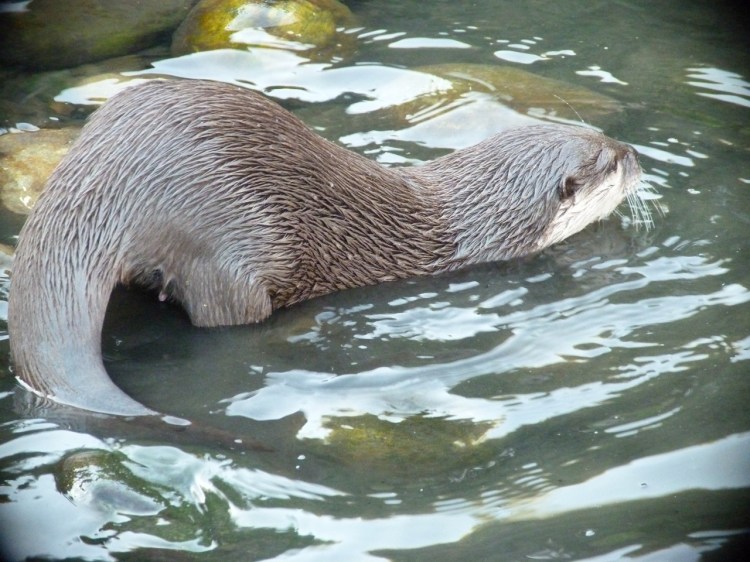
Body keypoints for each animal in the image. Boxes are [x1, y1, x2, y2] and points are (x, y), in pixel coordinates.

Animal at [8, 79, 645, 417]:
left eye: (598, 136)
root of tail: (107, 181)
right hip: (227, 254)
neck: (470, 219)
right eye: (608, 161)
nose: (636, 153)